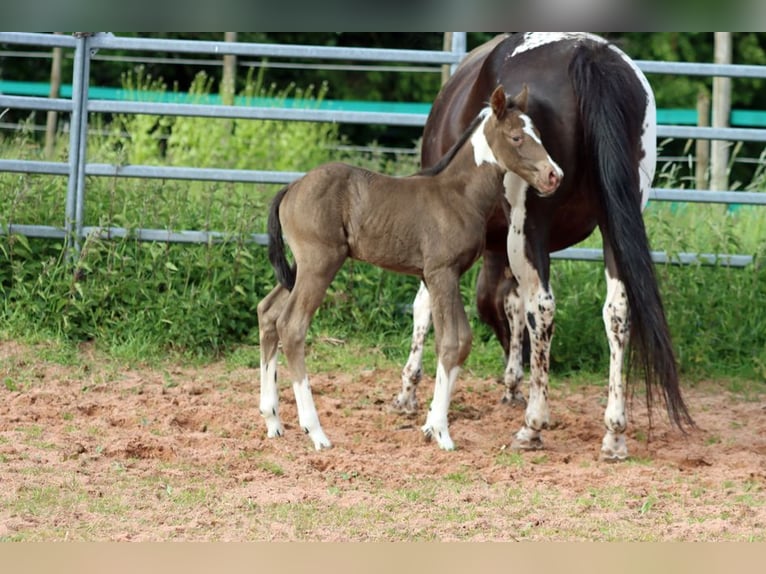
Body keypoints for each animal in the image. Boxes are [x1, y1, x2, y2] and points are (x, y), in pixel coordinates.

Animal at [257, 84, 562, 451]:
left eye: (539, 134)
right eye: (516, 137)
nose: (554, 176)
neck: (459, 194)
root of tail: (291, 187)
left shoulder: (436, 276)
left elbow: (459, 340)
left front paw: (430, 424)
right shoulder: (442, 272)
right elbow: (453, 342)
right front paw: (442, 431)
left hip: (299, 267)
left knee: (268, 312)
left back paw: (273, 420)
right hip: (320, 263)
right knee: (292, 325)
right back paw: (315, 431)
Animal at [395, 32, 695, 460]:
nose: (514, 361)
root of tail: (585, 53)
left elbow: (427, 306)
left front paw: (408, 392)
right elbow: (512, 302)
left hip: (530, 223)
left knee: (543, 308)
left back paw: (533, 426)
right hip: (615, 222)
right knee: (617, 311)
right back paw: (614, 433)